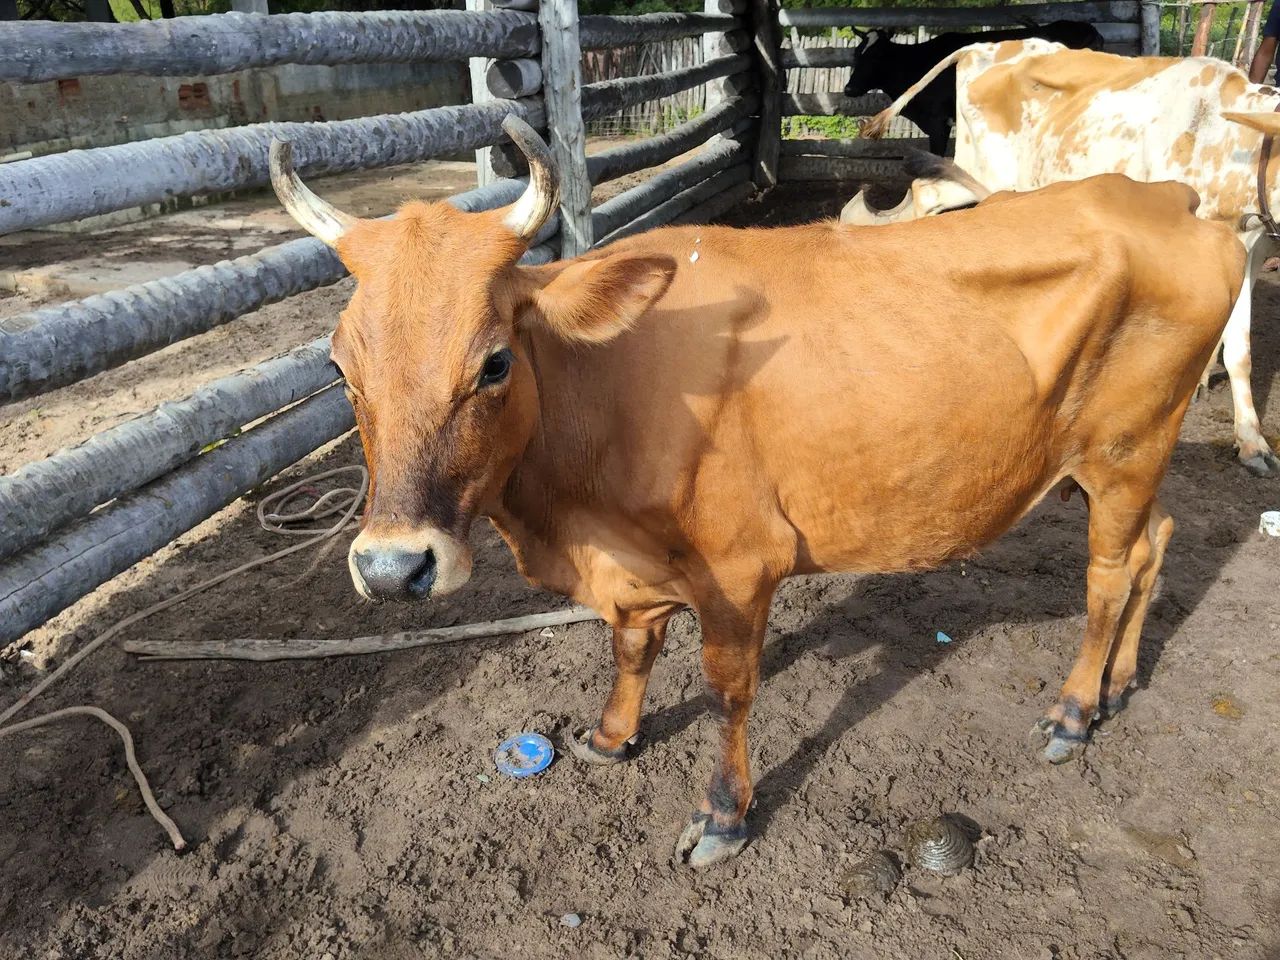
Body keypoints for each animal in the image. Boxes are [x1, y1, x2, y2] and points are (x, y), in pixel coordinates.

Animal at [269, 116, 1243, 868]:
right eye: (341, 367)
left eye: (495, 361)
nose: (393, 569)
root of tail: (1166, 196)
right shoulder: (634, 565)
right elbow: (631, 649)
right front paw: (612, 736)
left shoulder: (740, 567)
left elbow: (729, 688)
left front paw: (723, 815)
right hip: (1122, 462)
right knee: (1155, 545)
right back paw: (1119, 683)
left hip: (1124, 451)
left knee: (1107, 574)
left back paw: (1074, 712)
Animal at [861, 39, 1280, 477]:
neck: (1228, 141)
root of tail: (983, 45)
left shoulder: (1247, 251)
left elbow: (1238, 349)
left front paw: (1250, 440)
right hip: (988, 174)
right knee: (926, 195)